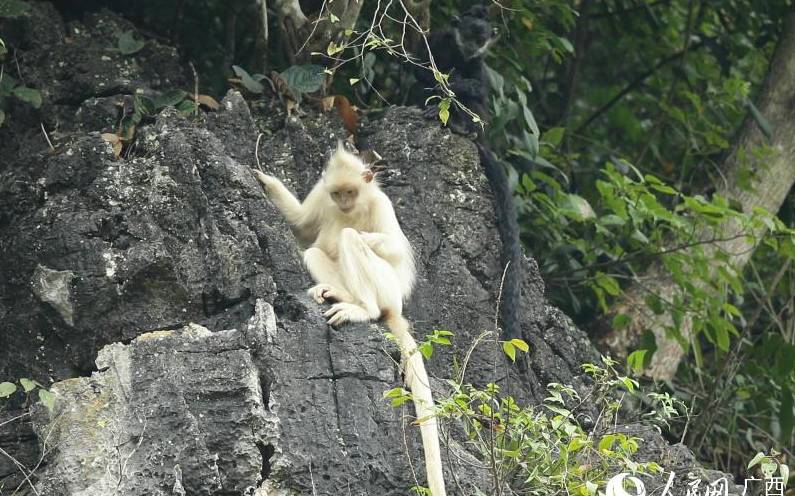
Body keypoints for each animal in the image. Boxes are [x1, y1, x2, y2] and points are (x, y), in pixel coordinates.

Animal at [255, 143, 448, 496]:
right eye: (337, 193)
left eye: (351, 193)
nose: (343, 203)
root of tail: (393, 308)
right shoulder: (322, 196)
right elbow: (302, 224)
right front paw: (263, 179)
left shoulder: (380, 204)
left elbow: (393, 247)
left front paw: (356, 230)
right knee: (315, 252)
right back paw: (337, 294)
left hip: (387, 288)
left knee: (350, 239)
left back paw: (364, 308)